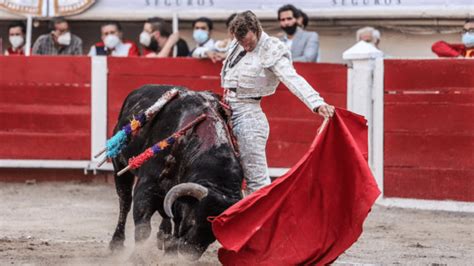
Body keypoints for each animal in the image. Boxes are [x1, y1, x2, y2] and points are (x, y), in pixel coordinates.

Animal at [109, 84, 243, 260]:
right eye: (193, 221)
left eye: (215, 234)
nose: (189, 253)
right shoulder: (147, 187)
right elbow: (143, 227)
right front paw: (138, 258)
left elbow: (174, 218)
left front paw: (170, 252)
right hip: (120, 166)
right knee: (125, 202)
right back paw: (116, 243)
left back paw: (163, 237)